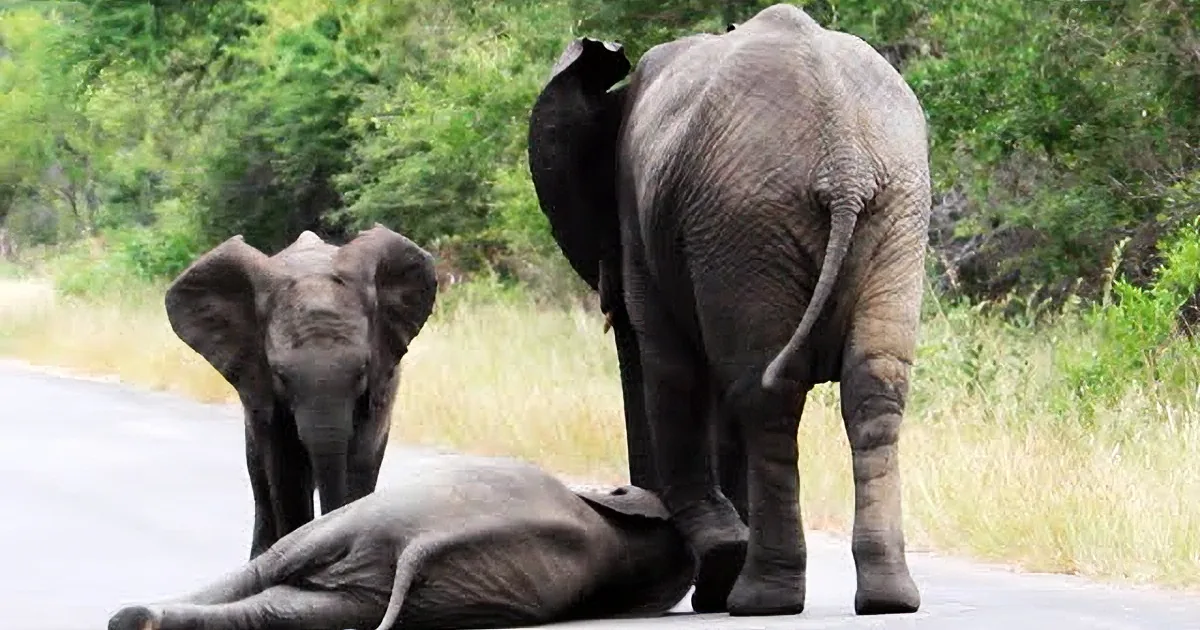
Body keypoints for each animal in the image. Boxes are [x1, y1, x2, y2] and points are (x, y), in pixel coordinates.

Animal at [164, 225, 438, 559]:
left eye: (362, 369)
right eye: (280, 375)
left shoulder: (380, 383)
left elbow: (358, 463)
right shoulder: (260, 384)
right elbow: (286, 470)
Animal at [527, 3, 930, 618]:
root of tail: (843, 160)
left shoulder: (643, 222)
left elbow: (670, 371)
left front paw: (717, 569)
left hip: (753, 221)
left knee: (762, 394)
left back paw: (760, 598)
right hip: (886, 215)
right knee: (873, 391)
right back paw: (887, 600)